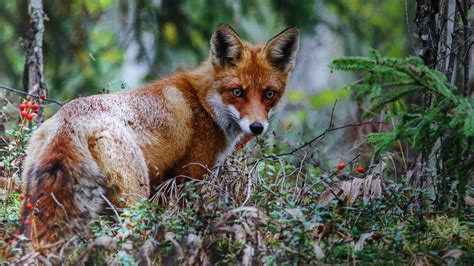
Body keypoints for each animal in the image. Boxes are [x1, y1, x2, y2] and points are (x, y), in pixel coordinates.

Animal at [15, 23, 300, 250]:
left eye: (269, 93)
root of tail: (69, 118)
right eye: (238, 92)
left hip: (33, 197)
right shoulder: (189, 177)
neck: (205, 105)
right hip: (134, 197)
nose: (257, 127)